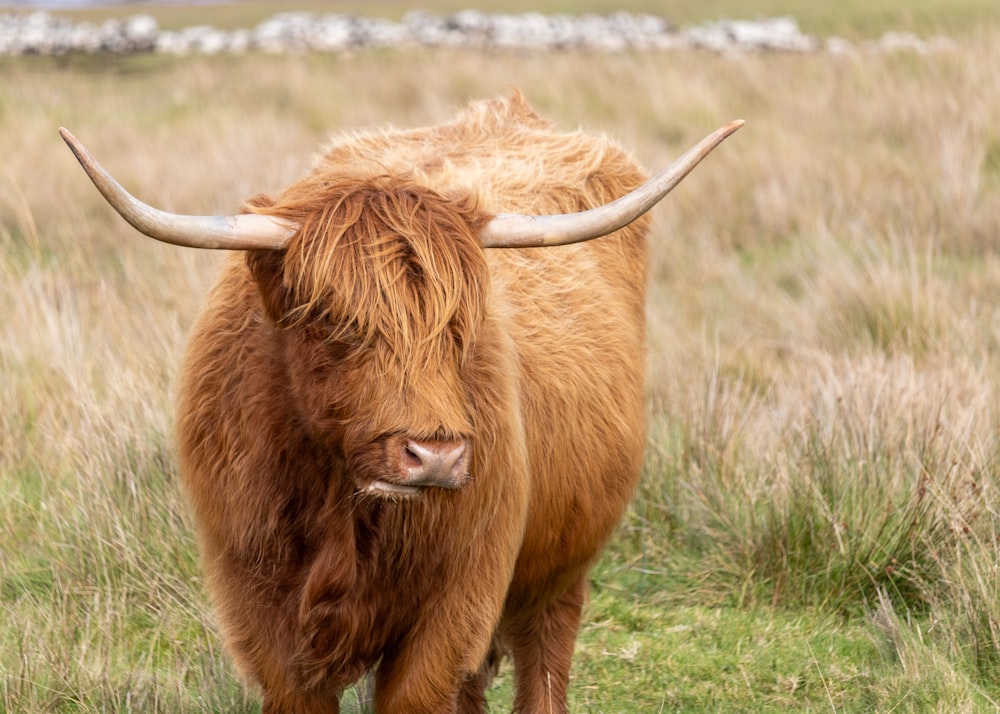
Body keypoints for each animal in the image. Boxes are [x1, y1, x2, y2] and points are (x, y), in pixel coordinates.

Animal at [58, 92, 740, 708]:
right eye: (331, 321)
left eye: (461, 327)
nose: (434, 456)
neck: (339, 506)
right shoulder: (259, 610)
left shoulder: (455, 606)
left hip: (560, 571)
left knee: (544, 668)